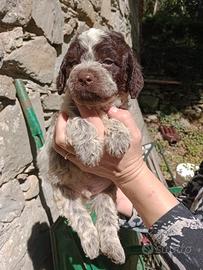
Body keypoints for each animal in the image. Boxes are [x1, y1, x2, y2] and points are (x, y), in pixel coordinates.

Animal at [37, 28, 143, 264]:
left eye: (108, 61)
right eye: (73, 63)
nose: (83, 77)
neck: (96, 108)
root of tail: (86, 194)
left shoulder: (120, 111)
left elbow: (116, 117)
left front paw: (118, 137)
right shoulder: (62, 118)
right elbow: (79, 120)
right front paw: (89, 150)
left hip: (107, 194)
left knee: (107, 221)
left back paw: (113, 248)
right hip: (65, 195)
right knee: (81, 219)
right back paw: (92, 246)